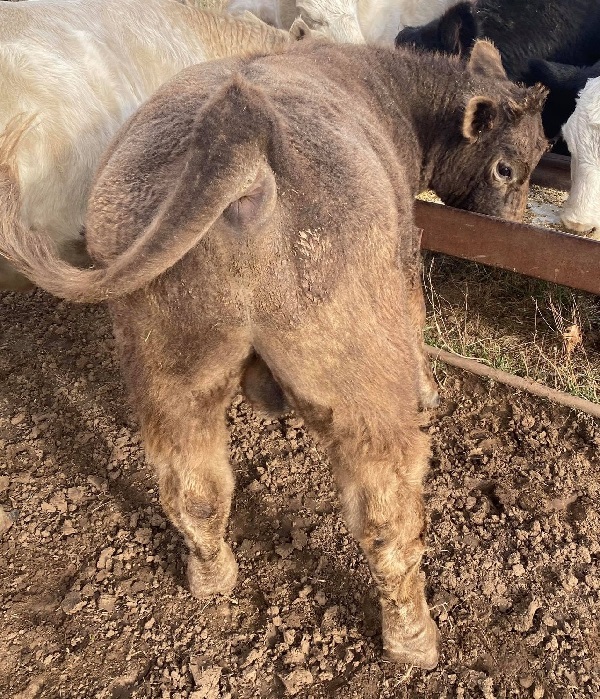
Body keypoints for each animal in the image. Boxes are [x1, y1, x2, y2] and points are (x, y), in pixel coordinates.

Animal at [0, 39, 547, 668]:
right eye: (506, 166)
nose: (514, 229)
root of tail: (239, 125)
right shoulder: (406, 250)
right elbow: (416, 312)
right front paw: (429, 389)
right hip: (358, 369)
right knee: (385, 512)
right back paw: (413, 640)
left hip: (170, 360)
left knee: (194, 485)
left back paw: (213, 578)